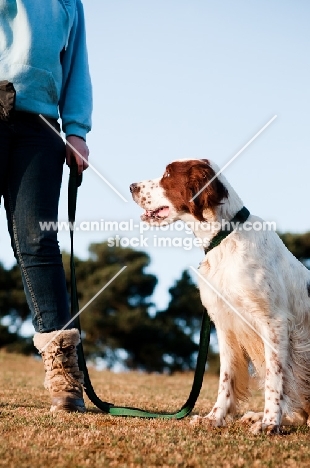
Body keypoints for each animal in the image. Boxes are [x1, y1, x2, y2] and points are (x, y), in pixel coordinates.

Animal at [130, 159, 310, 434]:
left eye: (168, 174)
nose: (132, 187)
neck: (225, 237)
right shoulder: (225, 324)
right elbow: (227, 378)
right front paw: (215, 417)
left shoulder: (274, 322)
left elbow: (275, 377)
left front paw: (270, 423)